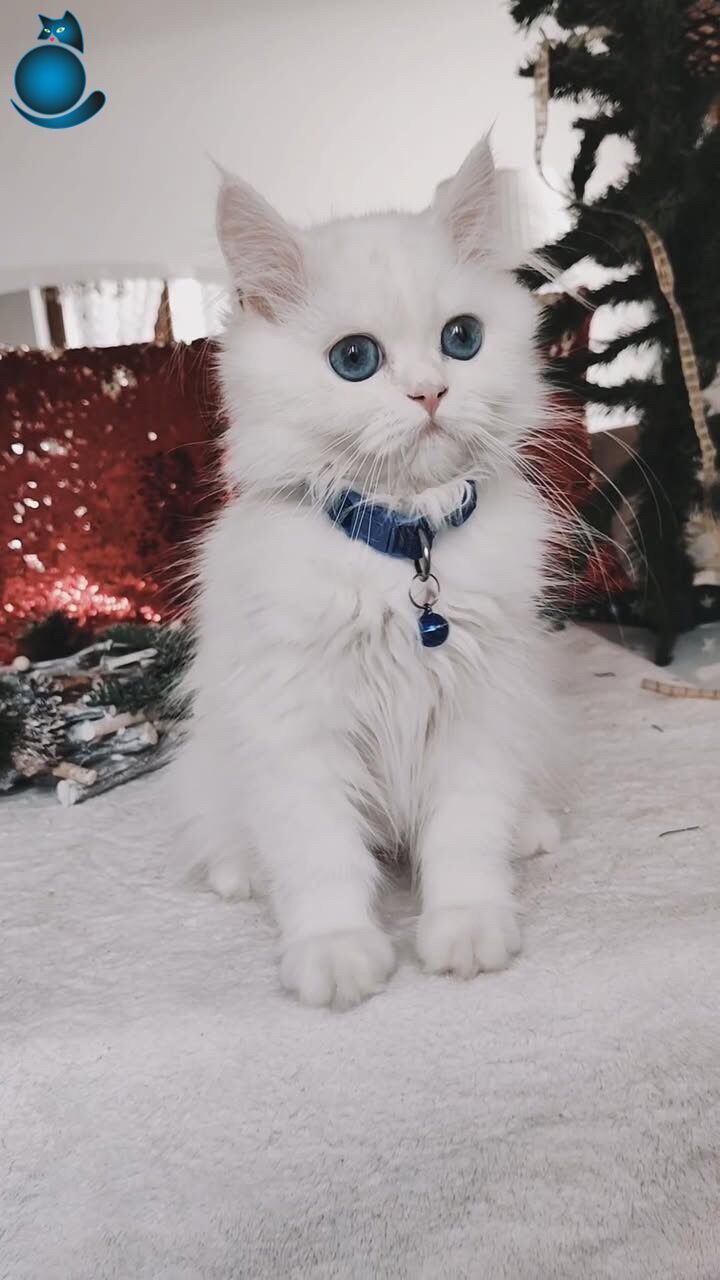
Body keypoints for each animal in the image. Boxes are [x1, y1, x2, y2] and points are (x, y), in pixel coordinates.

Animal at [173, 137, 562, 1008]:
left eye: (462, 339)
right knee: (228, 826)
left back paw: (529, 830)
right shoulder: (294, 724)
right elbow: (319, 857)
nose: (430, 392)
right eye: (355, 359)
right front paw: (337, 956)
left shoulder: (478, 709)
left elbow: (465, 836)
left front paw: (467, 931)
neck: (403, 545)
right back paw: (238, 872)